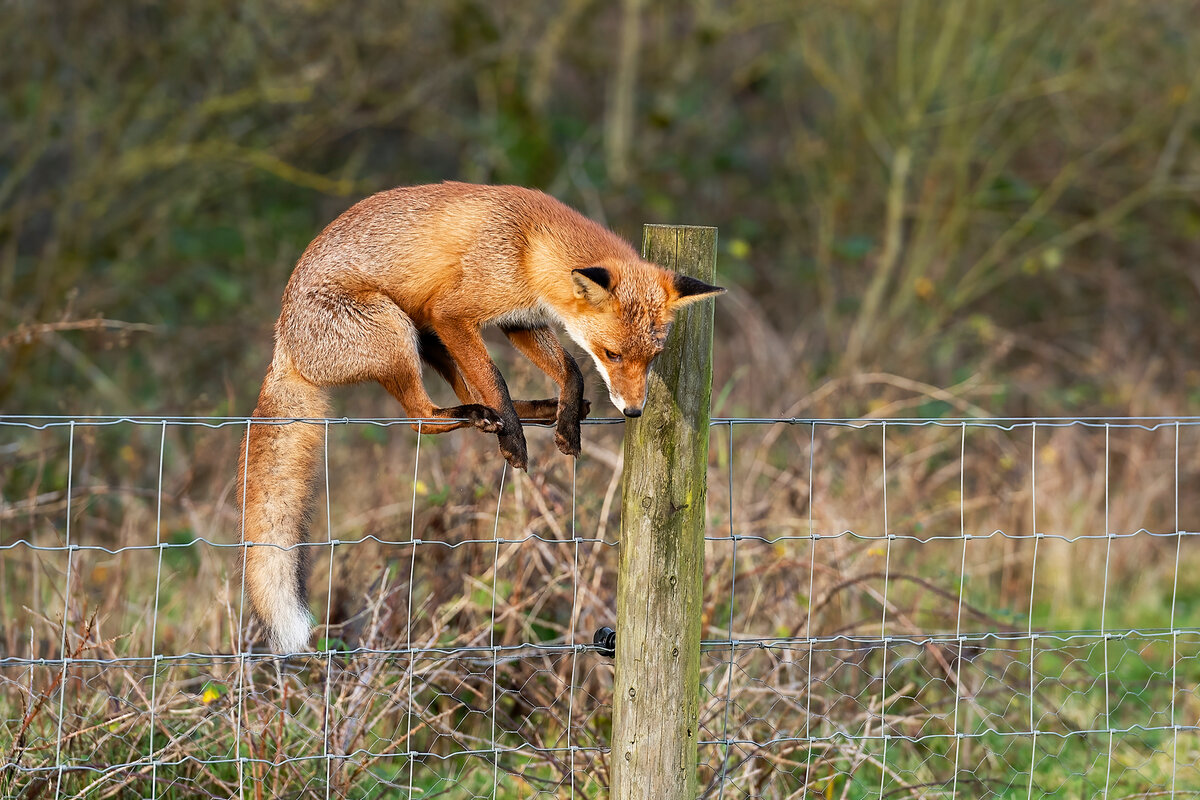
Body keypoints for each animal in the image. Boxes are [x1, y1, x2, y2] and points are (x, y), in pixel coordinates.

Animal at [234, 179, 720, 652]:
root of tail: (284, 342)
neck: (527, 247)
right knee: (423, 415)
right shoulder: (453, 313)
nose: (634, 410)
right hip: (402, 329)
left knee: (462, 395)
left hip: (427, 336)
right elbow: (497, 380)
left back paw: (539, 411)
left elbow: (571, 371)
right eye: (612, 354)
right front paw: (515, 443)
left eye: (653, 357)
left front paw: (566, 424)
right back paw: (486, 418)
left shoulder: (520, 321)